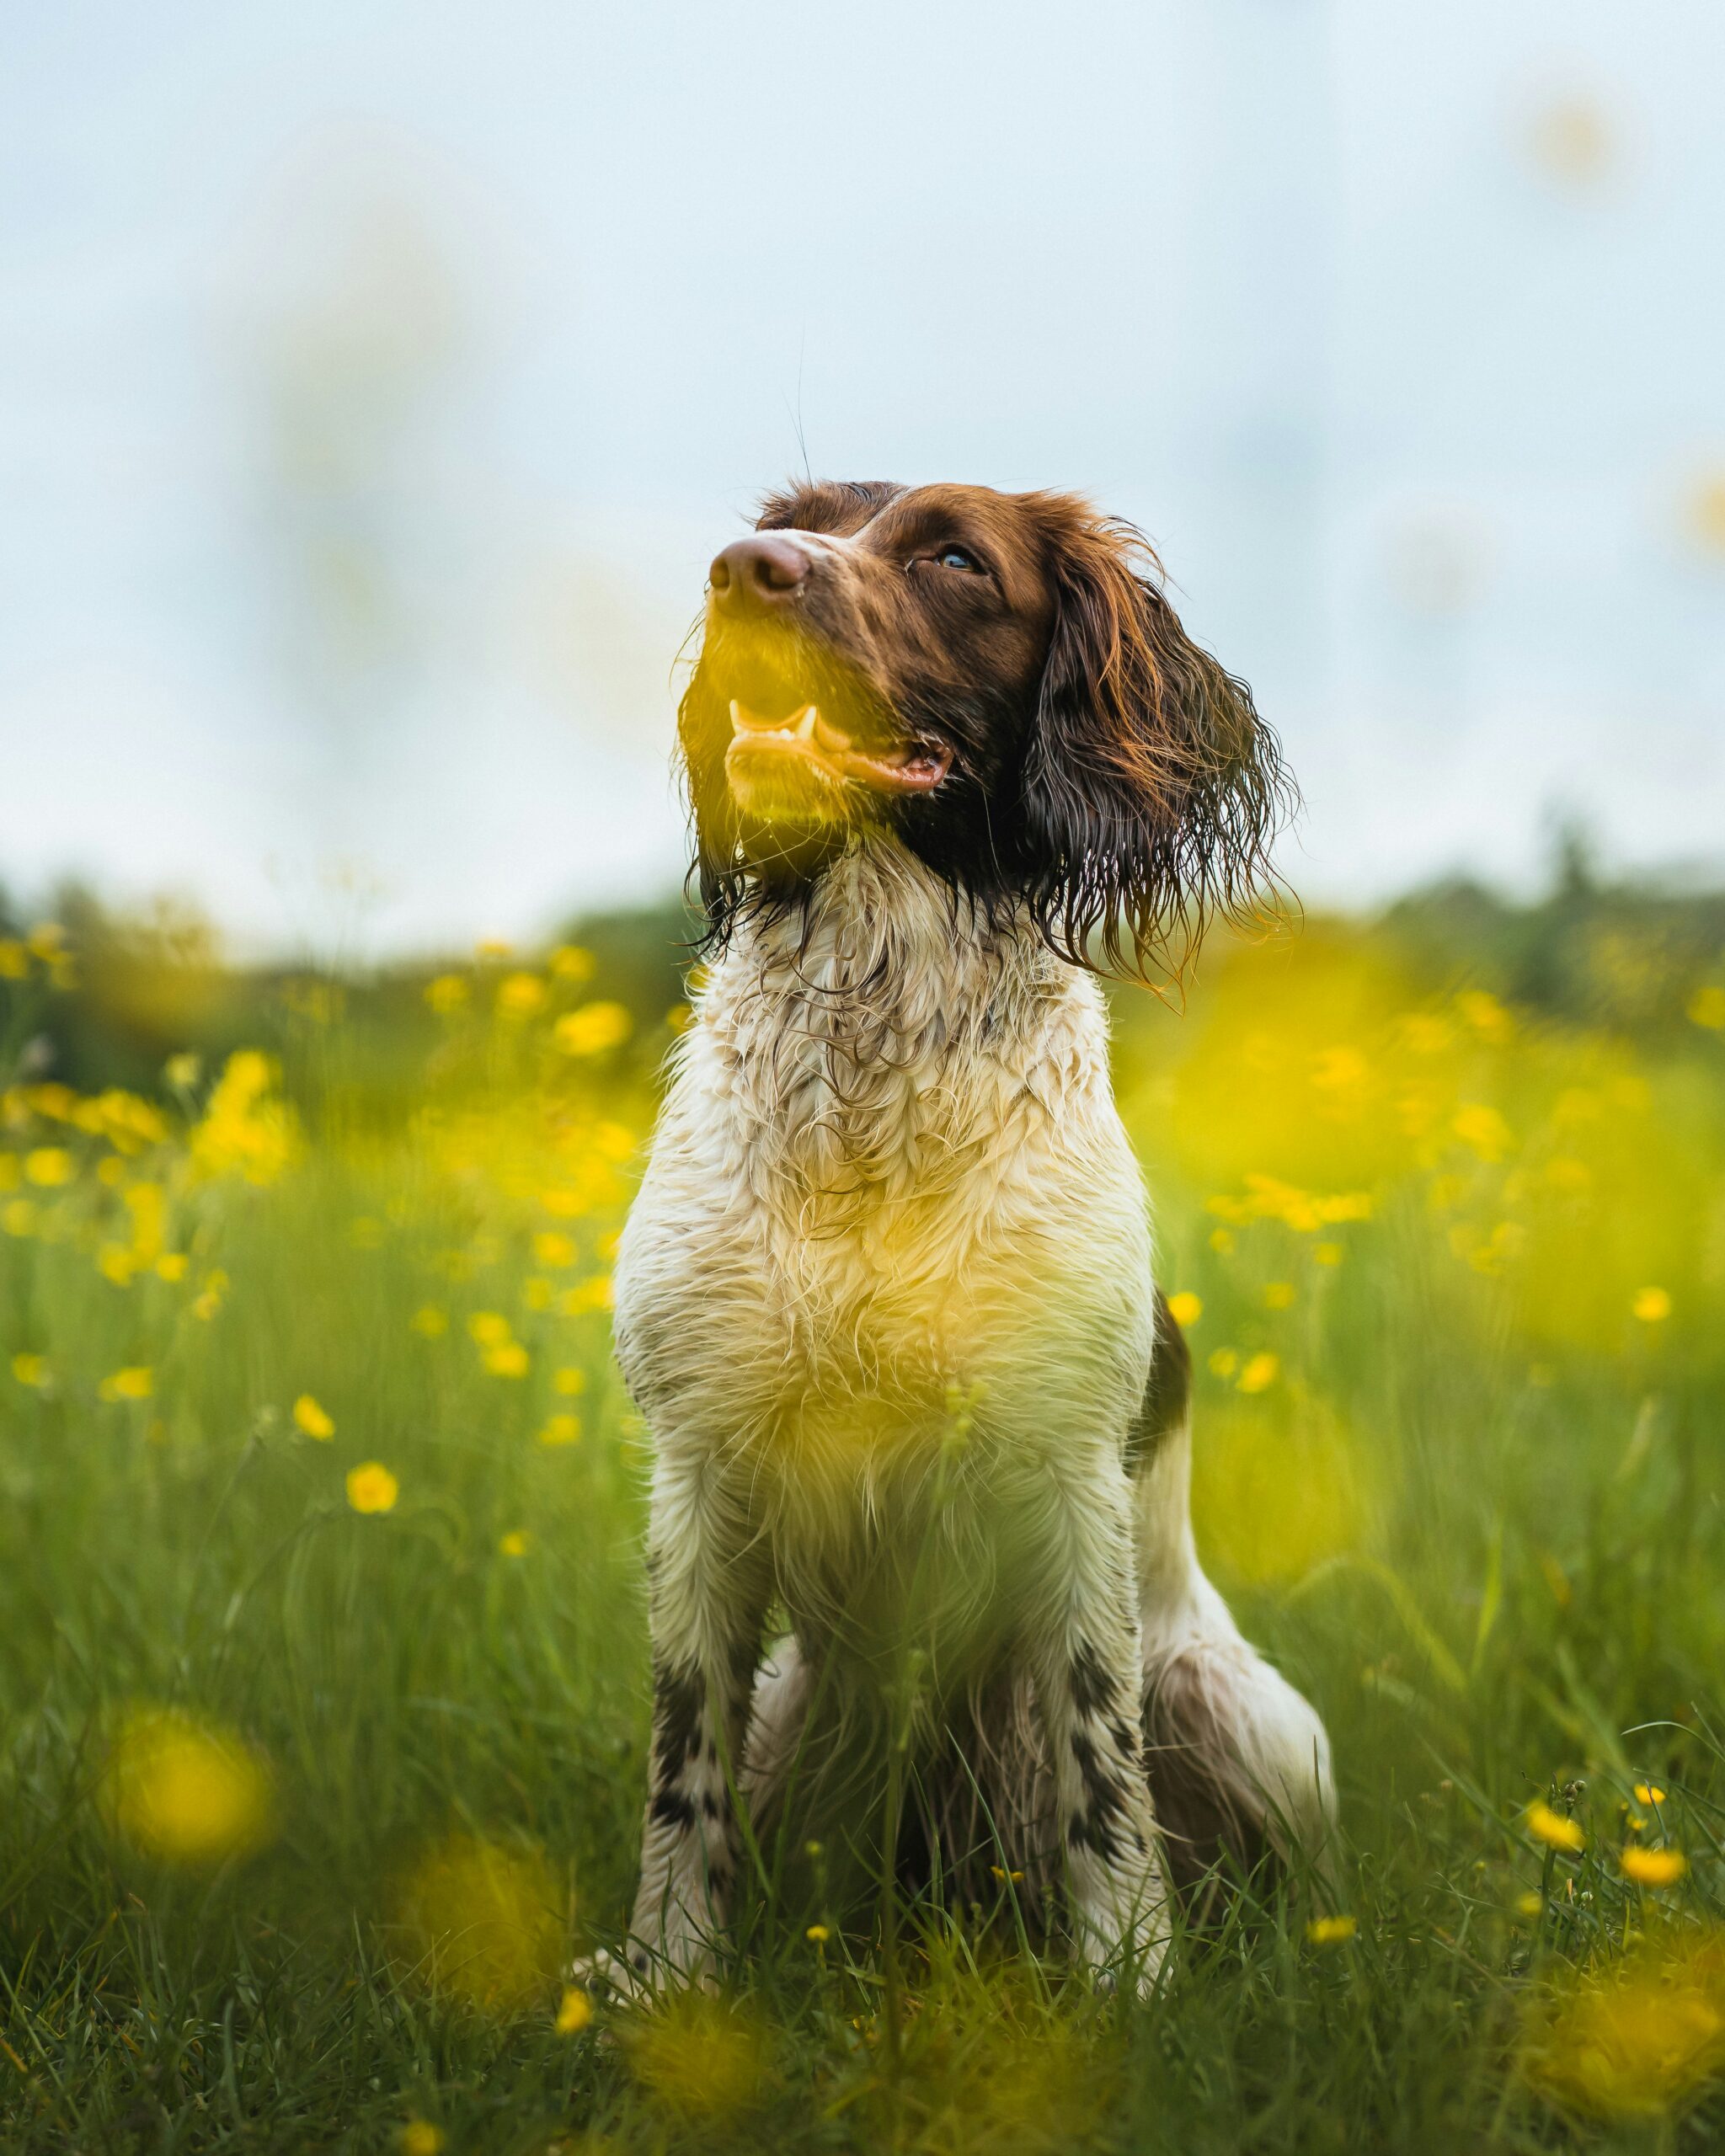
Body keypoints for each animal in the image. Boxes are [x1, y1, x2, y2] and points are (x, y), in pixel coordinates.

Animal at [603, 480, 1337, 1992]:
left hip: (1246, 1713)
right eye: (785, 519)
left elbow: (1098, 1767)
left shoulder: (1066, 1478)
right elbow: (680, 1770)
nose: (739, 572)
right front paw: (663, 1981)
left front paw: (1129, 1981)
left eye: (955, 558)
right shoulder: (697, 1477)